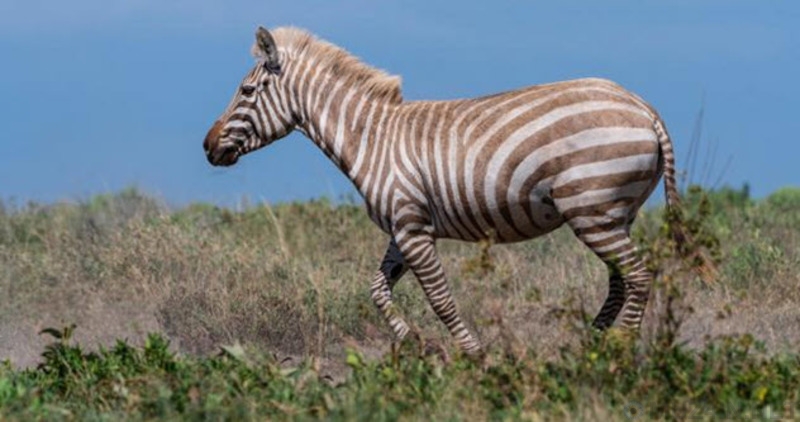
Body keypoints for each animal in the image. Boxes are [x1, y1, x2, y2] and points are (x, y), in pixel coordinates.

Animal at [202, 26, 712, 356]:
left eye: (246, 91)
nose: (207, 147)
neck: (371, 139)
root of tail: (643, 107)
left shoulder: (413, 228)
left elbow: (440, 299)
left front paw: (473, 355)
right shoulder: (403, 227)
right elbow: (377, 290)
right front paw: (418, 345)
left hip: (591, 209)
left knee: (639, 276)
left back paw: (619, 350)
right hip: (610, 213)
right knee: (621, 280)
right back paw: (592, 343)